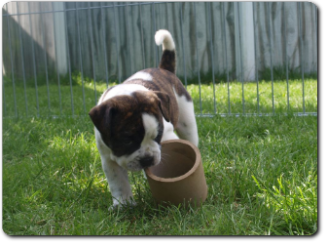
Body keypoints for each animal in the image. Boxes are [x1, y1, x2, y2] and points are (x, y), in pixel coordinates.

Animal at [88, 28, 199, 209]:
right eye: (126, 140)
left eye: (158, 136)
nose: (147, 159)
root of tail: (163, 69)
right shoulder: (108, 158)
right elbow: (118, 182)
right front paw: (122, 204)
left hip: (187, 121)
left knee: (191, 138)